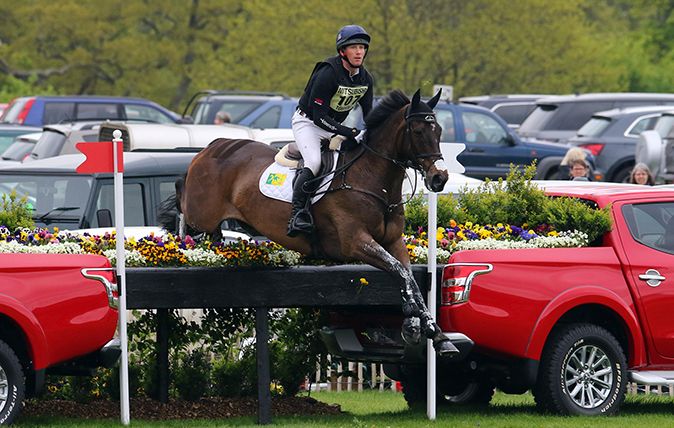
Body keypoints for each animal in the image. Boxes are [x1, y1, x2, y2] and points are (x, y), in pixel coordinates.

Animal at [163, 88, 456, 356]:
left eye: (439, 131)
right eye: (418, 132)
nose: (439, 178)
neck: (372, 178)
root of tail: (213, 146)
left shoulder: (393, 242)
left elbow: (409, 277)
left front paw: (432, 332)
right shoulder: (356, 242)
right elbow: (399, 271)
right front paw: (414, 321)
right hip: (201, 213)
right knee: (181, 204)